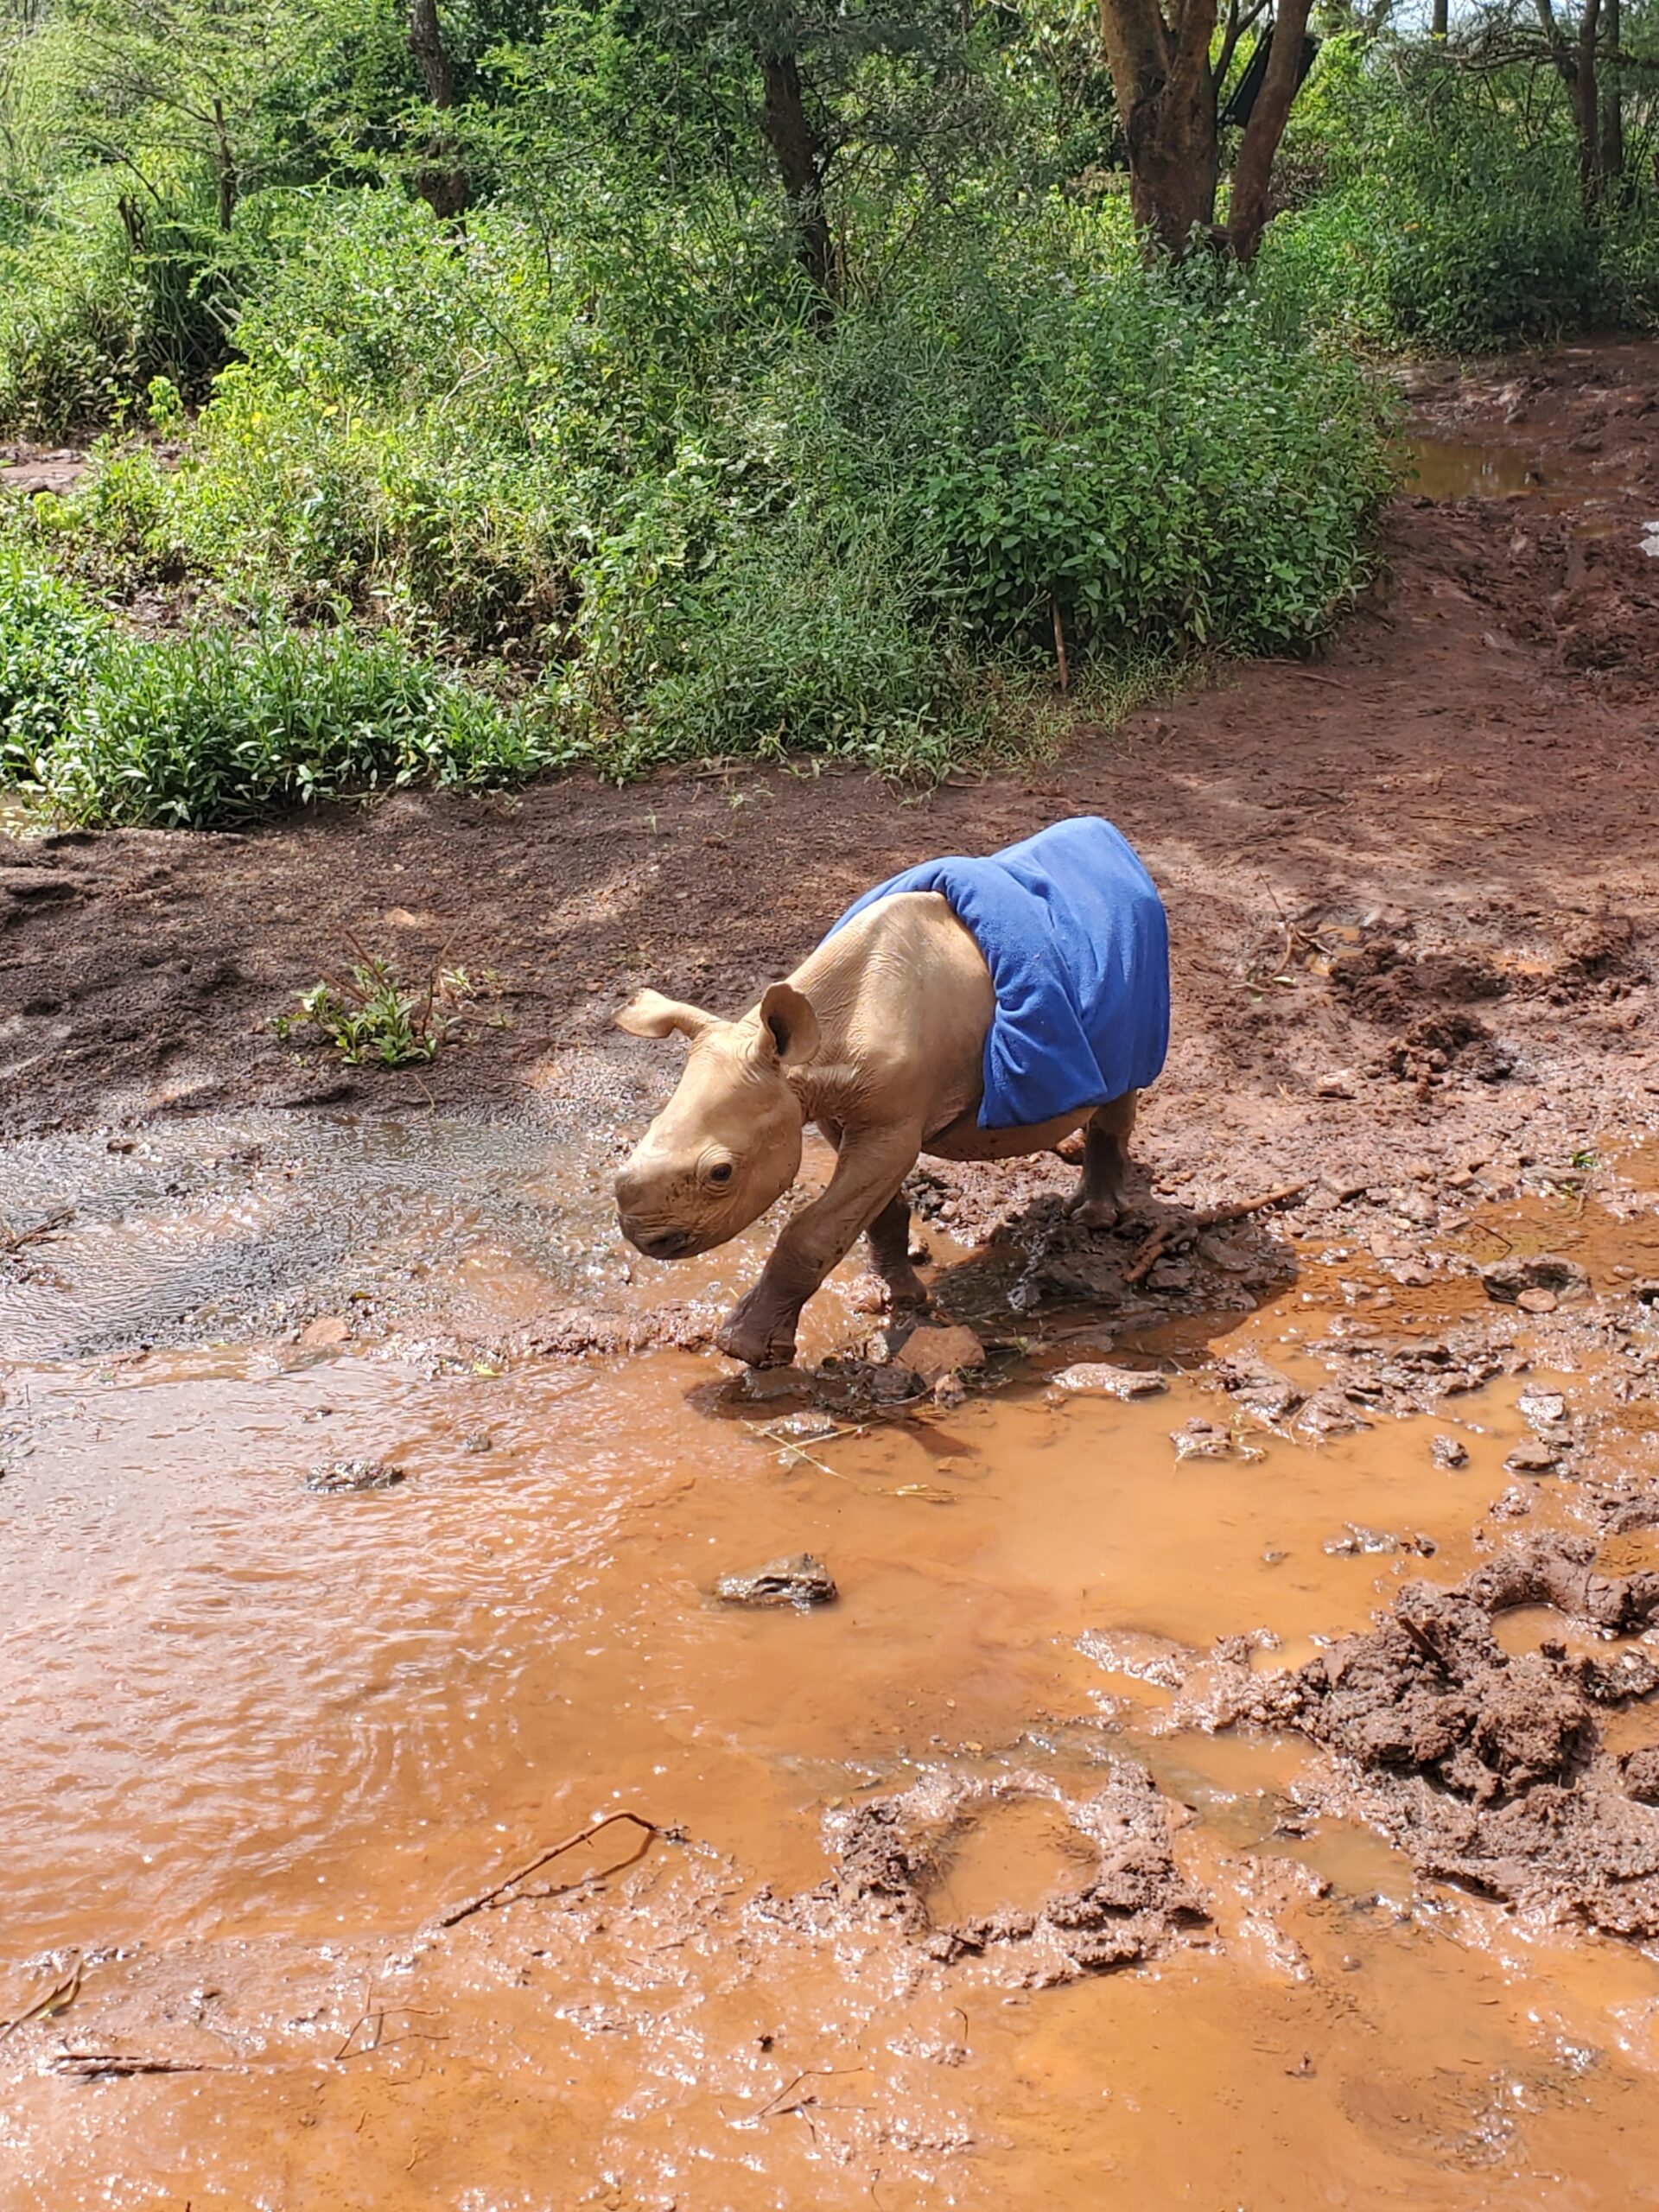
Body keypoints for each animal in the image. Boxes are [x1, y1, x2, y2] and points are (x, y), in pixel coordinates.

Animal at [614, 814, 1167, 1362]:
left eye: (721, 1173)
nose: (645, 1239)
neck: (815, 1049)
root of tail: (1113, 839)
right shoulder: (839, 1109)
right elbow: (871, 1211)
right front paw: (892, 1297)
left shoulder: (890, 1122)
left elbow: (811, 1231)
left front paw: (746, 1349)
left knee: (1124, 1081)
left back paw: (1096, 1218)